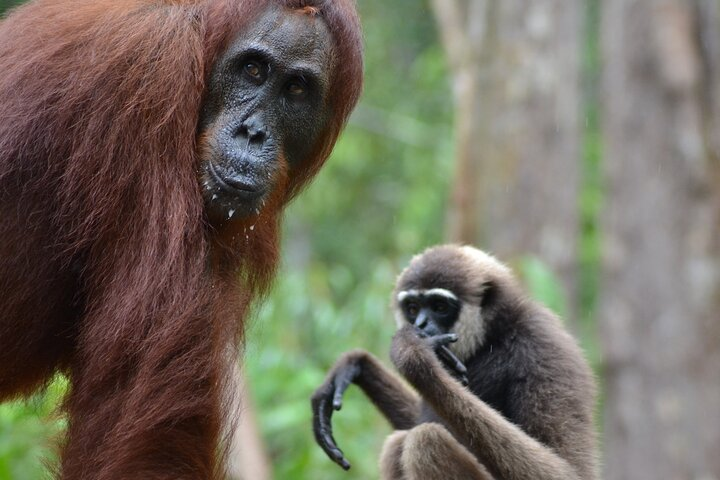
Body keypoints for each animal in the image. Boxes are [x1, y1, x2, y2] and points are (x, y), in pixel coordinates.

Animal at [312, 245, 598, 480]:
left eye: (439, 306)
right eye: (413, 308)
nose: (420, 325)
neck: (493, 337)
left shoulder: (542, 347)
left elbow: (567, 471)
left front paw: (413, 354)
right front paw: (355, 364)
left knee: (424, 441)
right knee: (398, 443)